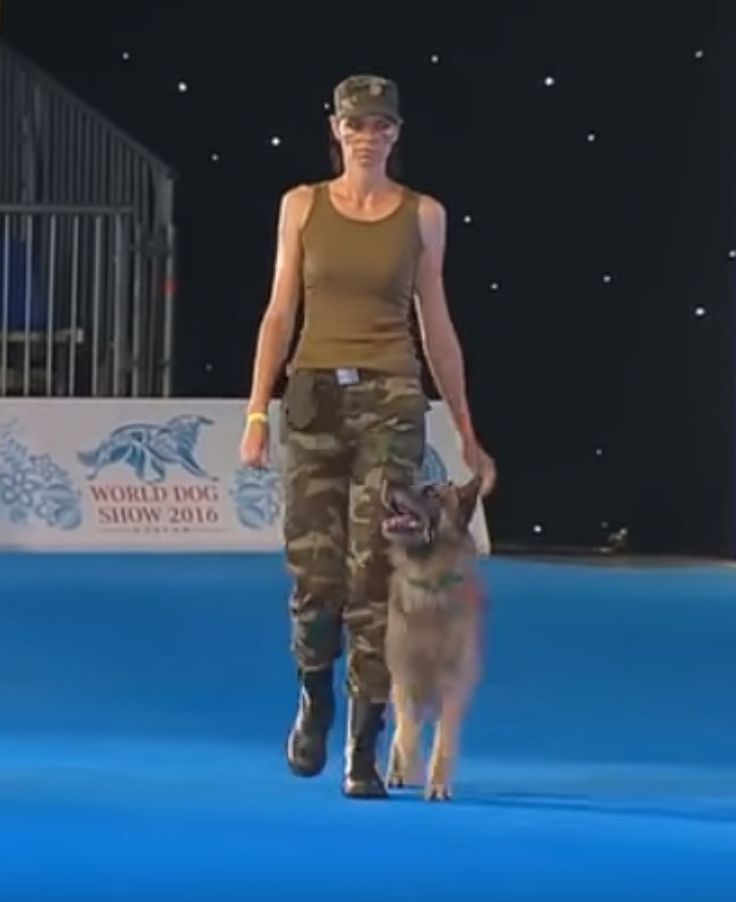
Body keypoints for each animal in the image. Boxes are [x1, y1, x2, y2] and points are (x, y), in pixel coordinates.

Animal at [382, 476, 486, 800]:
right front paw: (409, 763)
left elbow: (444, 740)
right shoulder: (403, 678)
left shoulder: (452, 686)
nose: (389, 481)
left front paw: (438, 782)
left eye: (430, 492)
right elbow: (405, 731)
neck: (429, 583)